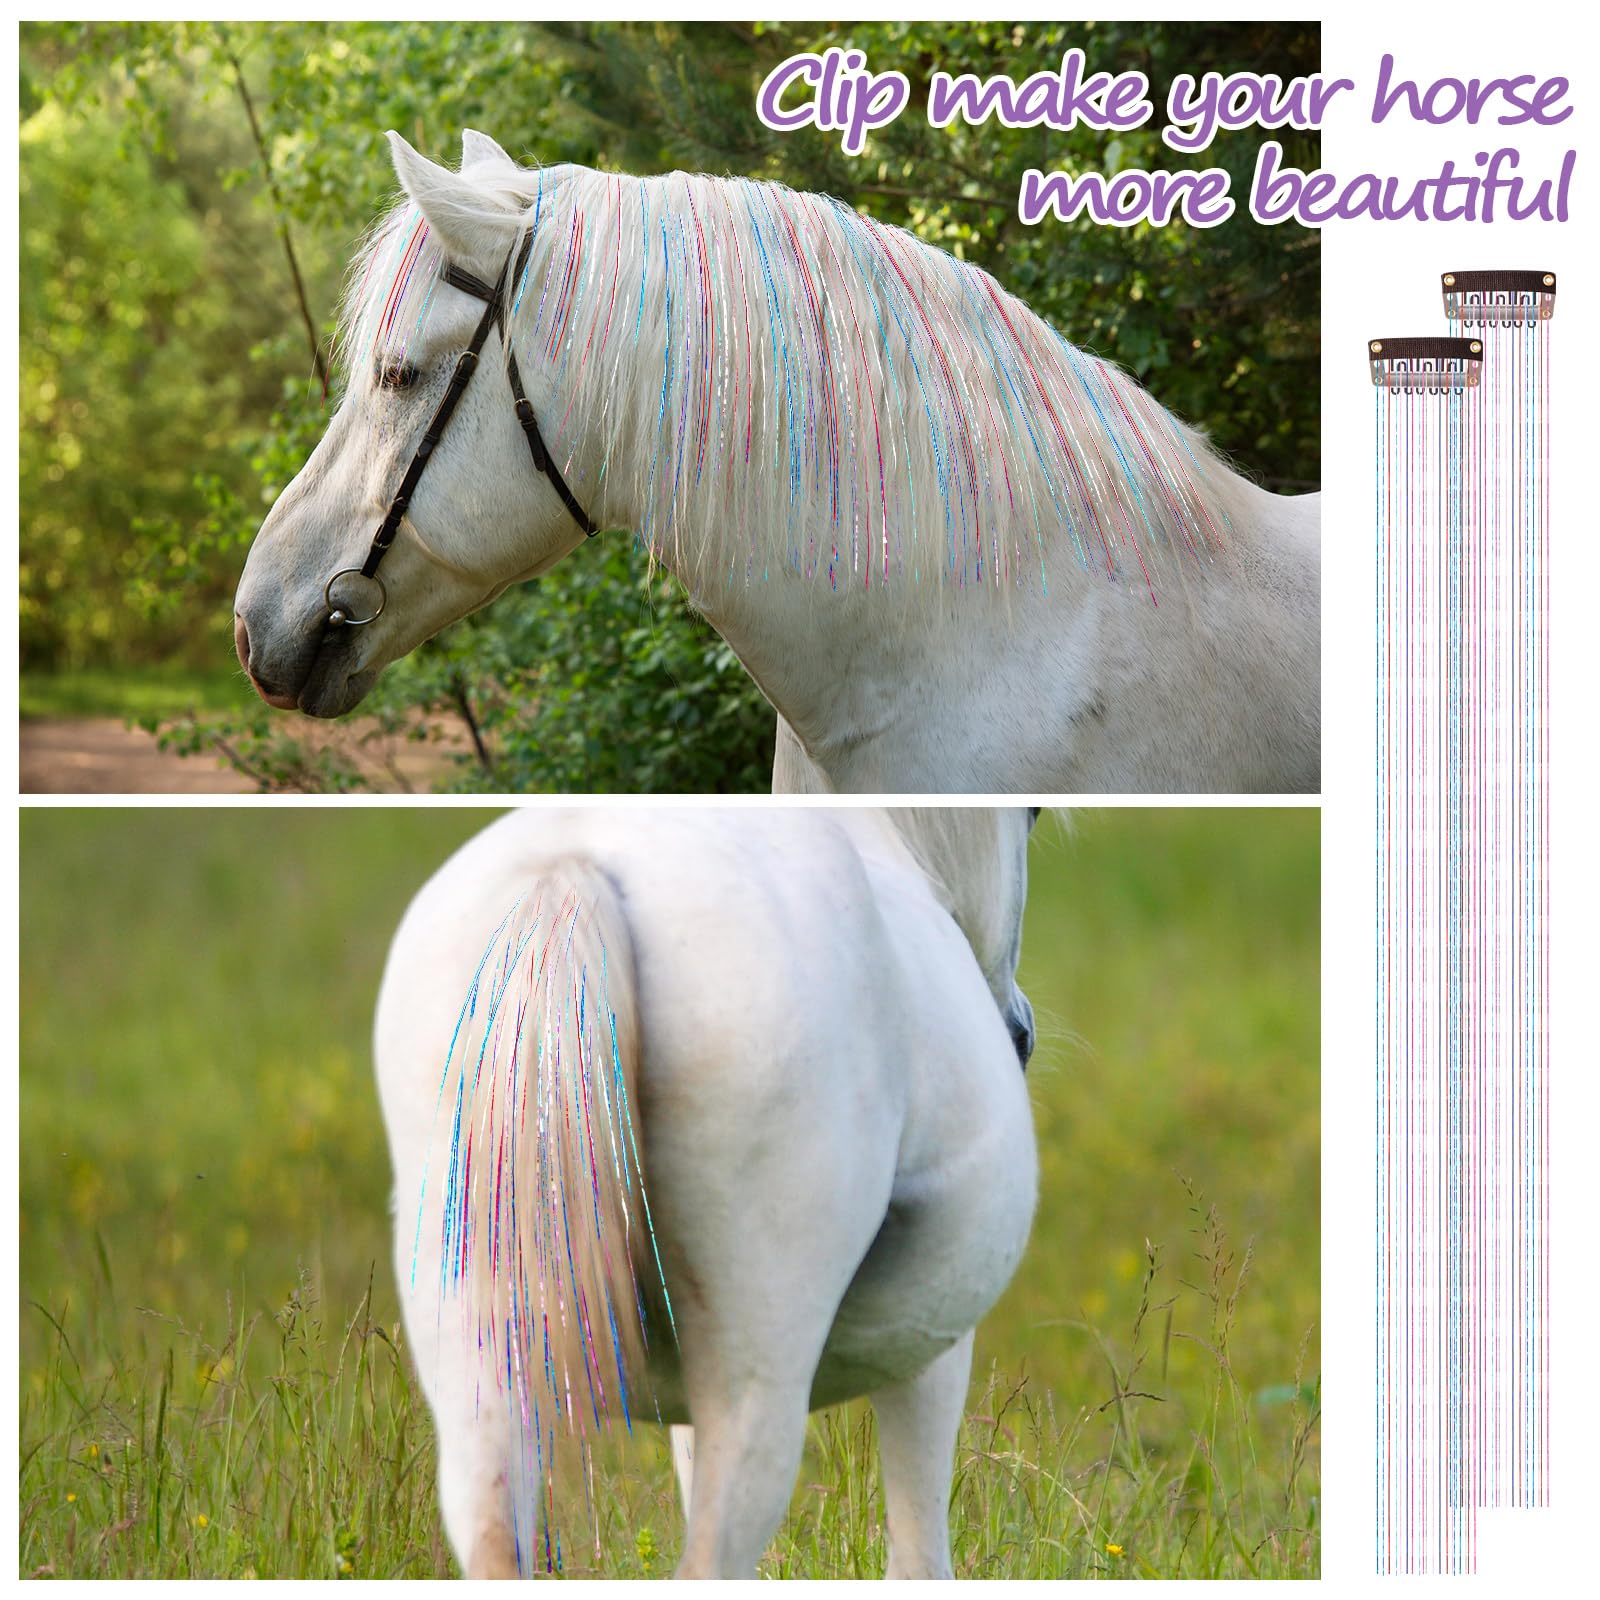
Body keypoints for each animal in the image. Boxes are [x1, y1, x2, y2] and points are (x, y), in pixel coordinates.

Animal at [374, 806, 1039, 1577]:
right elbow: (919, 1556)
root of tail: (570, 872)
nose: (1019, 1033)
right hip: (756, 1374)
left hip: (478, 1368)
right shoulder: (929, 1347)